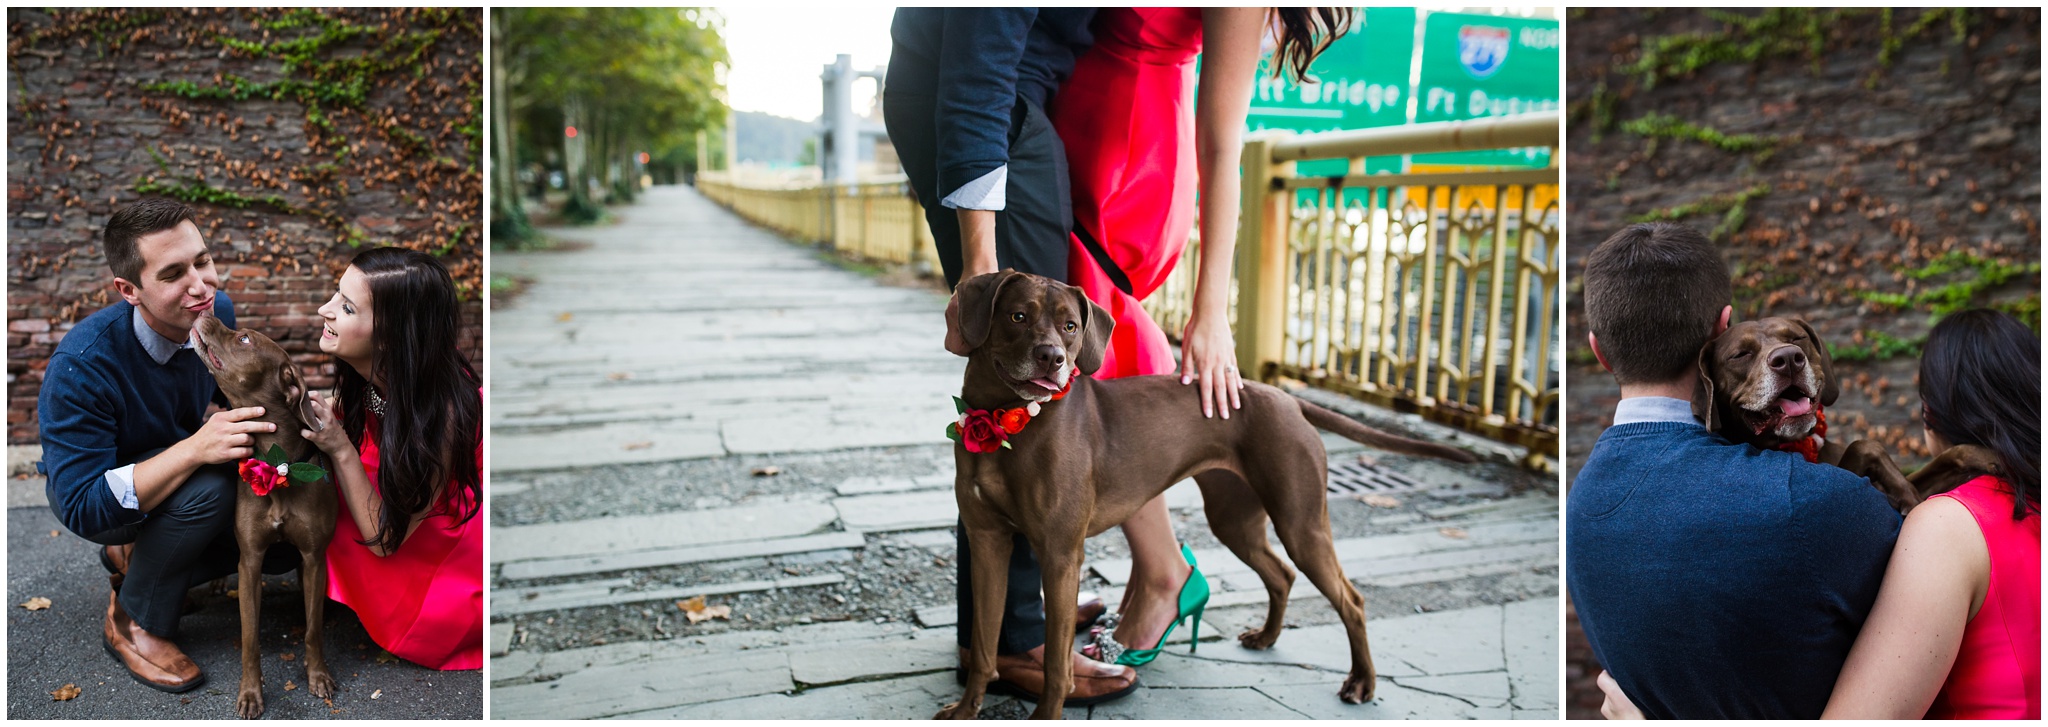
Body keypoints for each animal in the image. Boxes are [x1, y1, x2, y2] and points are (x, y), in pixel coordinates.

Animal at [193, 315, 337, 720]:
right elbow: (249, 638)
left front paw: (318, 675)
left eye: (244, 339)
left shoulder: (314, 558)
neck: (278, 464)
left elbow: (313, 629)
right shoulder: (251, 561)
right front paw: (250, 694)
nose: (205, 312)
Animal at [937, 274, 1482, 724]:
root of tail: (1286, 398)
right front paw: (965, 710)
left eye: (1071, 326)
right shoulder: (987, 544)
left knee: (1351, 598)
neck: (1008, 422)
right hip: (1235, 519)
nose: (1053, 359)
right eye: (1018, 316)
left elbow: (1055, 663)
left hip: (1301, 523)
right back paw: (1267, 637)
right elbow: (983, 644)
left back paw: (1362, 682)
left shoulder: (1060, 555)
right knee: (1280, 574)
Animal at [1695, 317, 1998, 511]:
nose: (1789, 358)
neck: (1801, 444)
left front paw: (1985, 456)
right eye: (1740, 354)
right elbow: (1864, 444)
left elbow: (1948, 456)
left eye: (1796, 338)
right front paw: (1905, 493)